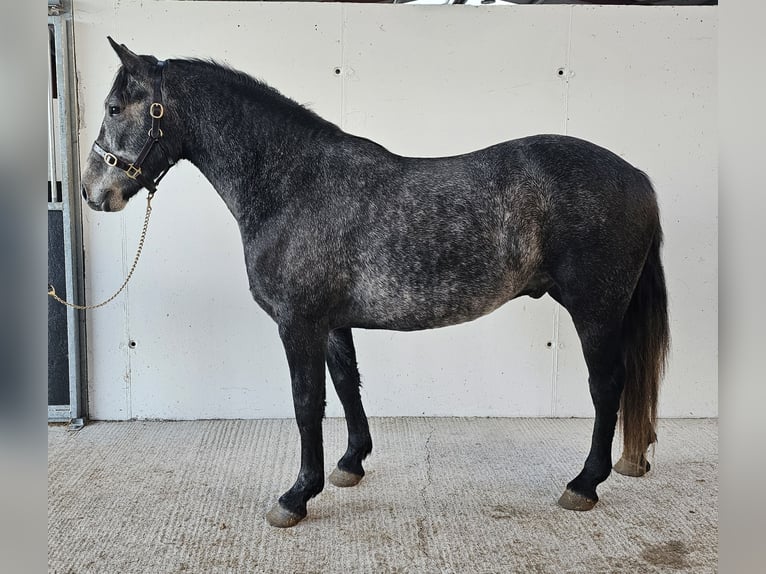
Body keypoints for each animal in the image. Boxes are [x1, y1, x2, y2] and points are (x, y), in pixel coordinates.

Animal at [80, 38, 669, 528]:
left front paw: (296, 496)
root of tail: (639, 178)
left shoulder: (298, 323)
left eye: (114, 109)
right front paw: (349, 463)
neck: (293, 185)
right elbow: (346, 384)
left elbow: (306, 402)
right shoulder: (330, 322)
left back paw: (584, 484)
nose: (91, 191)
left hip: (596, 311)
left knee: (606, 387)